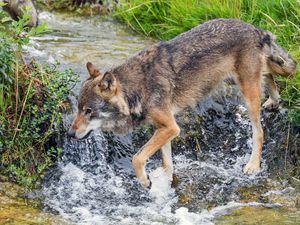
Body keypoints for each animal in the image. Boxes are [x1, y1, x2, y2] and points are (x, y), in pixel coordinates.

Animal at [67, 18, 296, 188]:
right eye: (78, 109)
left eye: (89, 111)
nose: (69, 134)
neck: (137, 89)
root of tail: (256, 29)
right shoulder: (164, 128)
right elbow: (166, 161)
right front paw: (166, 181)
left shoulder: (170, 127)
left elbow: (137, 158)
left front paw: (145, 181)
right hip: (236, 80)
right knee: (269, 76)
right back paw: (274, 101)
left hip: (247, 95)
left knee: (259, 131)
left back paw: (253, 165)